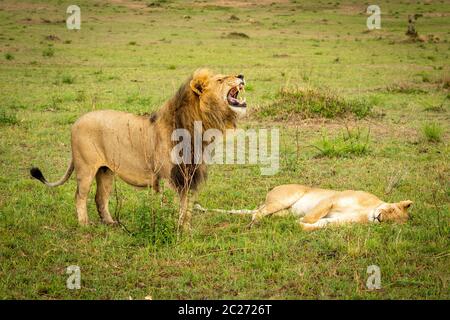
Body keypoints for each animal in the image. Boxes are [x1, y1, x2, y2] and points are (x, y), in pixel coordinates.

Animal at [29, 69, 248, 232]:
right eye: (220, 79)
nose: (241, 75)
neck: (198, 126)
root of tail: (76, 122)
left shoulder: (190, 175)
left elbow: (187, 207)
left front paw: (185, 230)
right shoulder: (169, 177)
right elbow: (173, 205)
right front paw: (173, 228)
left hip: (105, 171)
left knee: (100, 198)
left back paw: (110, 223)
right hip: (86, 168)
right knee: (80, 196)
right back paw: (84, 225)